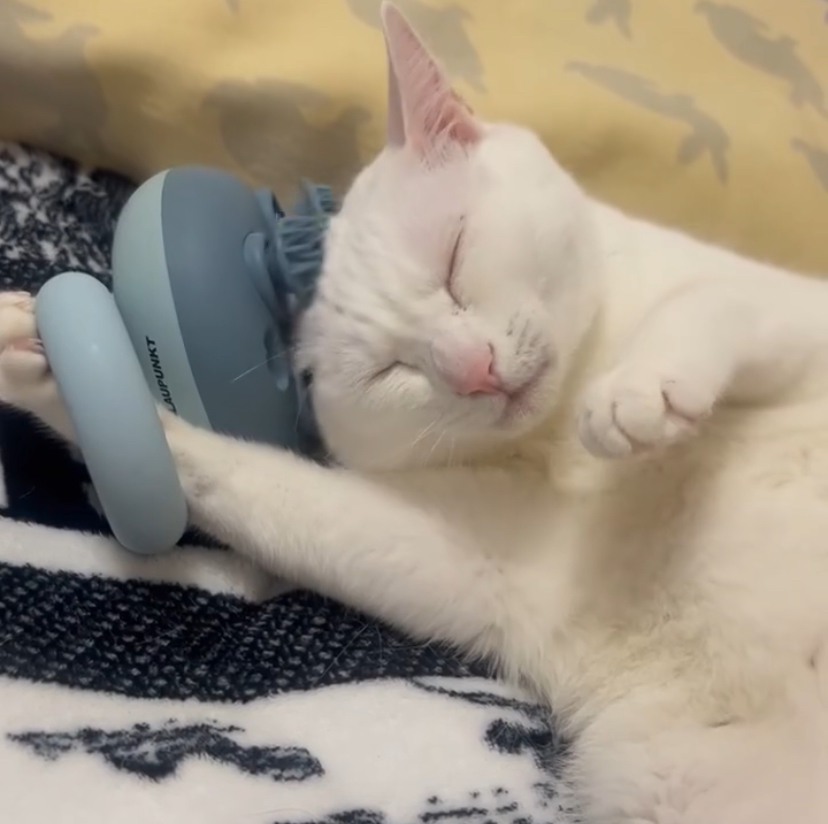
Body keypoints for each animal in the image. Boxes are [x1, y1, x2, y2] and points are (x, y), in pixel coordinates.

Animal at [1, 3, 828, 820]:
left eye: (453, 259)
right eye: (387, 371)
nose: (473, 368)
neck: (563, 434)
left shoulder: (799, 318)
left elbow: (716, 302)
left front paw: (641, 390)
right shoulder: (471, 560)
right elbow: (251, 479)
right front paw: (42, 362)